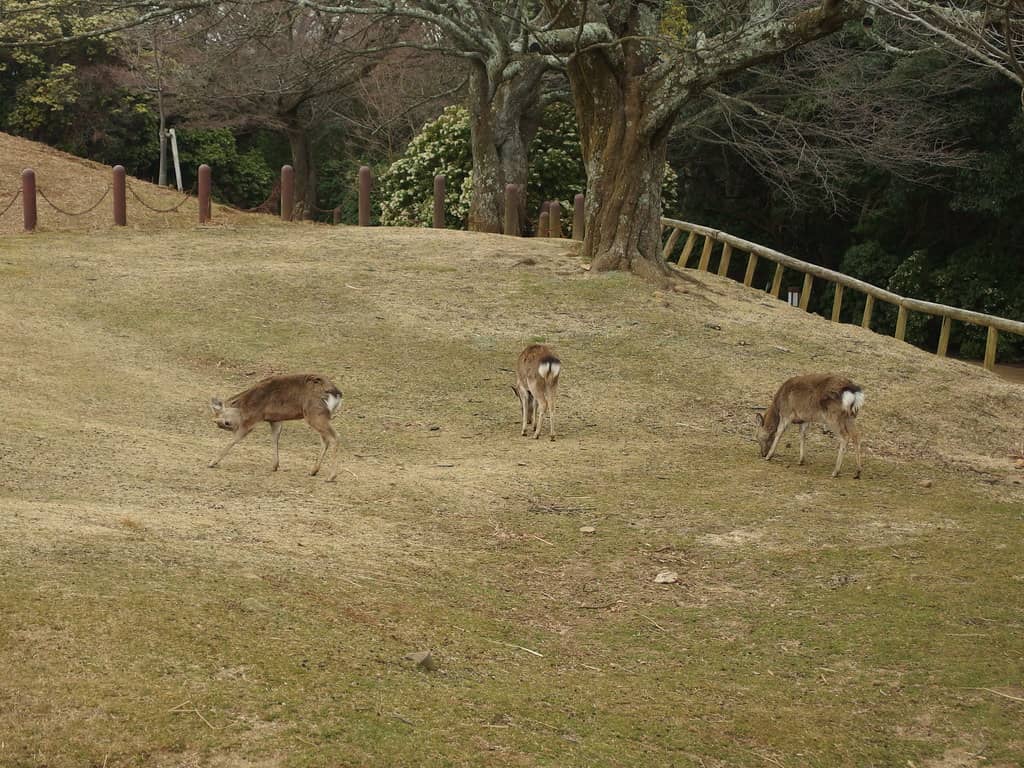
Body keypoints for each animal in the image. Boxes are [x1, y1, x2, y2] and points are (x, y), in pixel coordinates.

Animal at [208, 374, 343, 481]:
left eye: (226, 423)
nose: (233, 427)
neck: (246, 405)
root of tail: (336, 394)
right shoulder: (275, 419)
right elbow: (275, 438)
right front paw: (275, 466)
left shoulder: (253, 418)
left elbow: (234, 439)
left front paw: (212, 462)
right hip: (318, 416)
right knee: (325, 440)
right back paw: (313, 471)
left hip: (314, 414)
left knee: (335, 436)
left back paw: (331, 476)